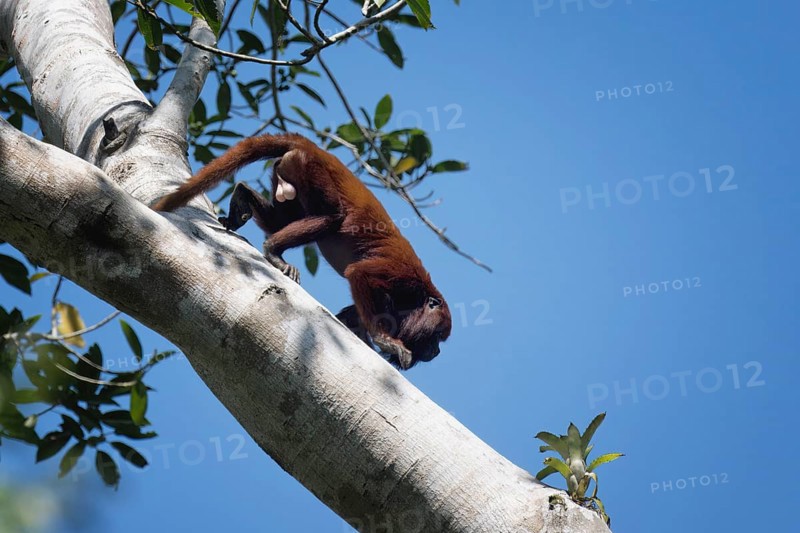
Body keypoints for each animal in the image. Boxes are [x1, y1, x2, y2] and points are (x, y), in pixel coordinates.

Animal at [152, 133, 451, 369]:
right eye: (438, 336)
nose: (437, 351)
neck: (417, 300)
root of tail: (317, 150)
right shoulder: (405, 276)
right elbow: (360, 273)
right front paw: (384, 340)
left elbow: (349, 317)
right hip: (310, 168)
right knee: (332, 217)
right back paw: (274, 251)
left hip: (288, 170)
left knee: (280, 219)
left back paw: (242, 197)